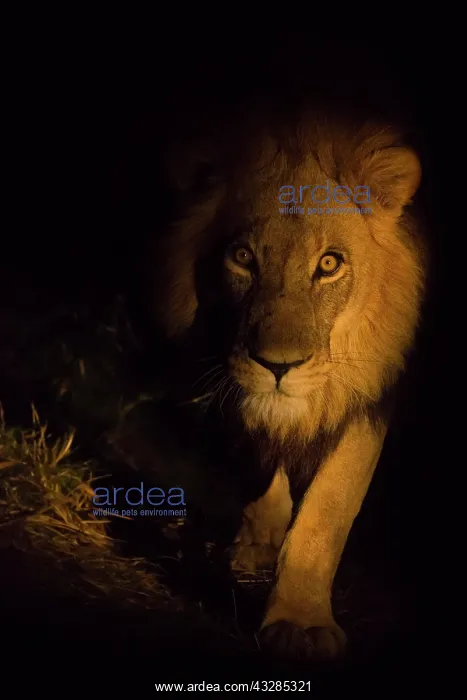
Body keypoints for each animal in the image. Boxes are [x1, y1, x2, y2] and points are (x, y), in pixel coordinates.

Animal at [146, 105, 427, 661]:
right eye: (243, 258)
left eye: (329, 264)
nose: (278, 367)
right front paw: (260, 538)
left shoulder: (372, 384)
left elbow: (328, 508)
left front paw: (299, 620)